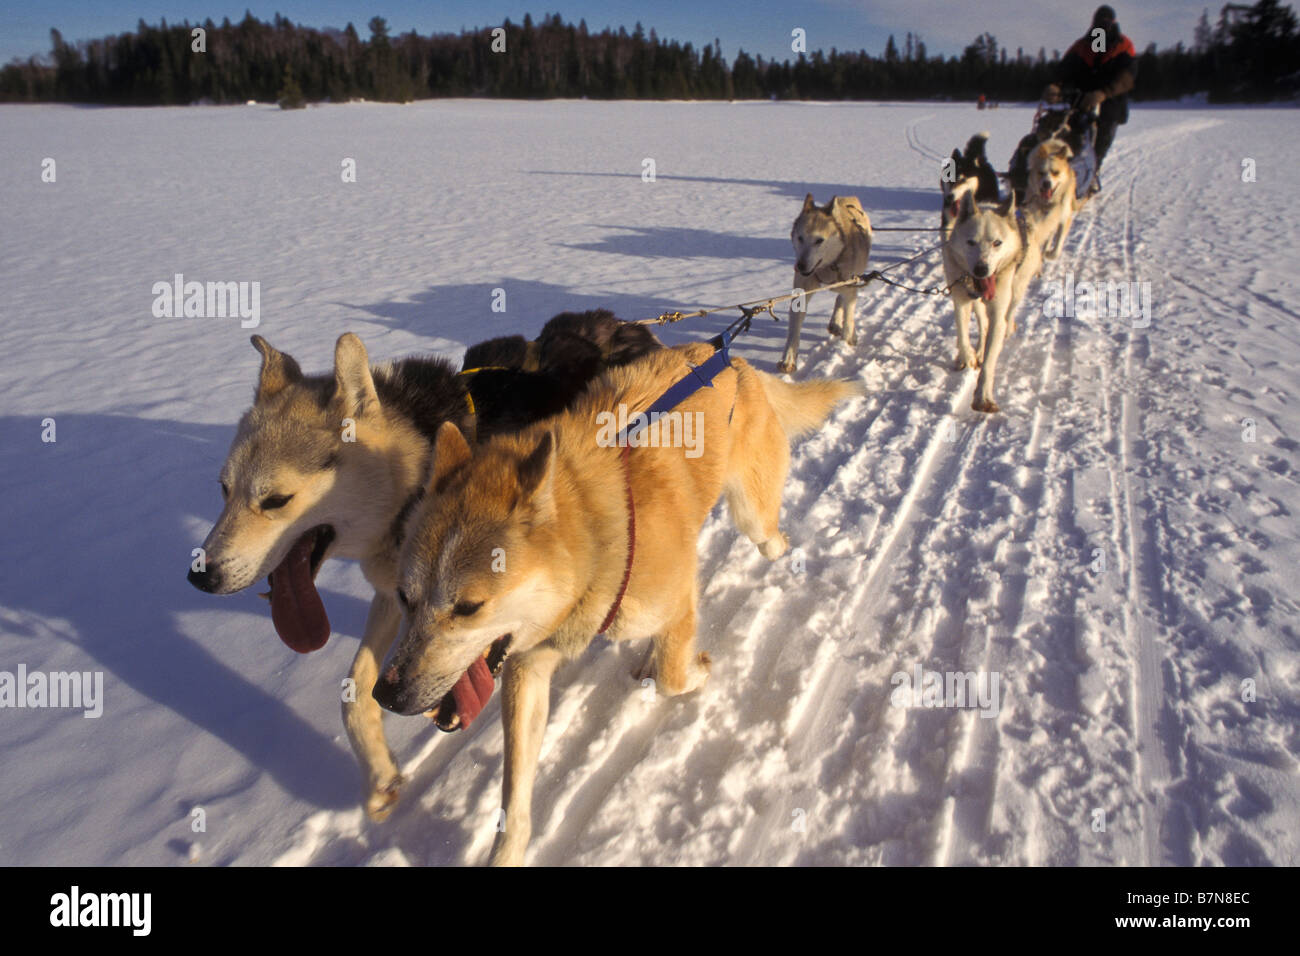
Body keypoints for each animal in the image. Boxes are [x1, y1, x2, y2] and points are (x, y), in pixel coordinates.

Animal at [185, 310, 660, 816]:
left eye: (275, 500)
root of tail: (626, 324)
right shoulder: (395, 597)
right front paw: (379, 778)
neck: (415, 474)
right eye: (223, 489)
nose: (200, 575)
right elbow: (355, 691)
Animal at [377, 343, 857, 868]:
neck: (596, 535)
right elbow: (514, 794)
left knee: (770, 545)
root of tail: (728, 355)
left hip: (756, 523)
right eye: (405, 597)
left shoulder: (671, 603)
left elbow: (673, 677)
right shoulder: (529, 664)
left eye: (468, 606)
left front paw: (697, 669)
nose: (386, 695)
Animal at [774, 191, 878, 374]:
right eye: (800, 238)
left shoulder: (850, 286)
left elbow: (849, 319)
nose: (800, 266)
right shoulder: (802, 291)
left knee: (844, 301)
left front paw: (846, 343)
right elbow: (794, 330)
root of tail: (848, 198)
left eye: (819, 240)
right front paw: (788, 359)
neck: (828, 265)